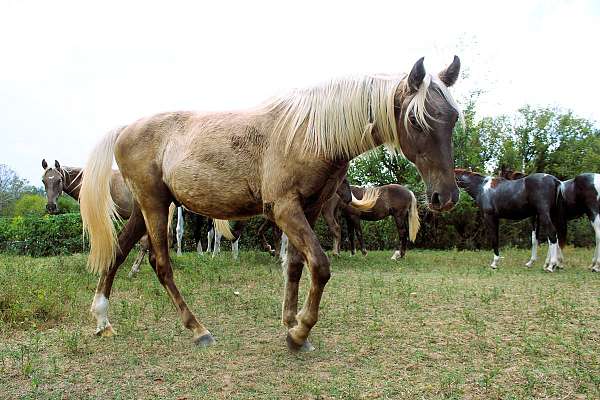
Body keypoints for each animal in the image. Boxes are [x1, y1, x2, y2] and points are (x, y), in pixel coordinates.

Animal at [79, 57, 462, 352]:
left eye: (454, 117)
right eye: (416, 120)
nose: (446, 197)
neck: (308, 133)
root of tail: (125, 129)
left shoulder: (306, 211)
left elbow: (294, 264)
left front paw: (290, 322)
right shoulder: (284, 209)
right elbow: (320, 265)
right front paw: (300, 332)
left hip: (145, 209)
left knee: (118, 252)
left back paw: (102, 318)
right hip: (156, 207)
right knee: (161, 265)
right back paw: (198, 330)